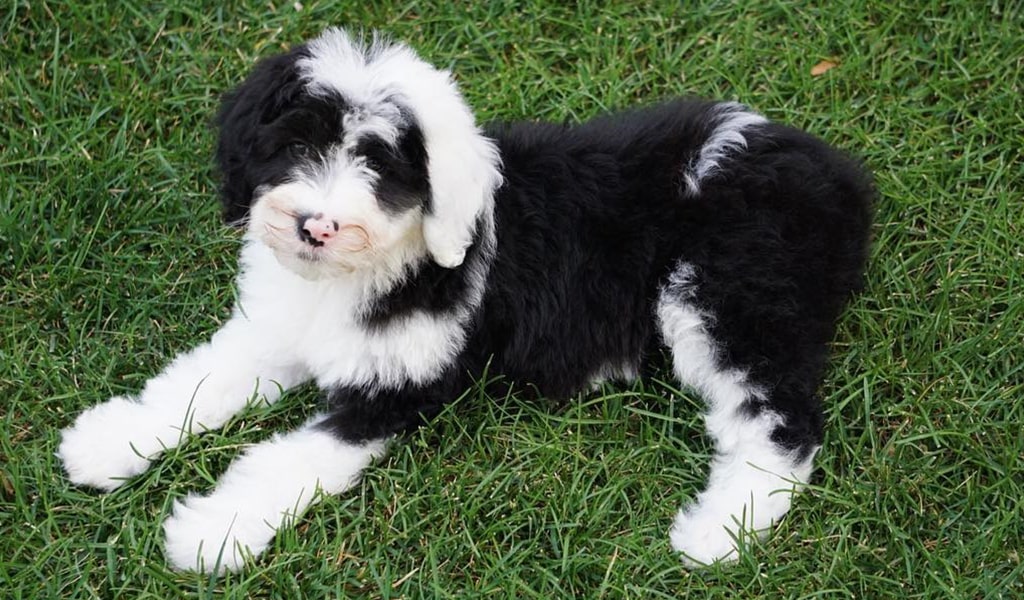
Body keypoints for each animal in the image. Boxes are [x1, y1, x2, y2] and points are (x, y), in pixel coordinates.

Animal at [58, 26, 872, 569]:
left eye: (380, 167)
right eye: (294, 146)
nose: (314, 226)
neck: (369, 271)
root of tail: (835, 176)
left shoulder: (392, 388)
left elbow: (286, 460)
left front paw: (210, 531)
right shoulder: (275, 331)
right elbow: (195, 382)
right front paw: (107, 440)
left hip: (726, 296)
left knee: (779, 422)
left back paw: (718, 530)